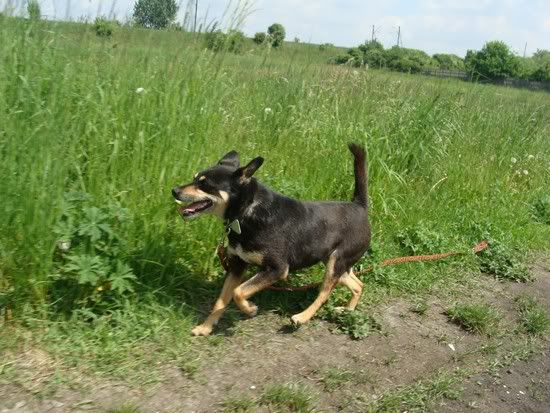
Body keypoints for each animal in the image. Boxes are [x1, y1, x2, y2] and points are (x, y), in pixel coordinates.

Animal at [172, 143, 371, 336]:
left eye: (205, 185)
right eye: (194, 178)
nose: (174, 190)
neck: (245, 212)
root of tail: (359, 206)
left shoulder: (277, 268)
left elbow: (238, 292)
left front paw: (250, 309)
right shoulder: (236, 265)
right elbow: (221, 300)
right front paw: (206, 327)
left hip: (335, 263)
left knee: (324, 294)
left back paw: (302, 317)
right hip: (334, 262)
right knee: (358, 285)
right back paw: (348, 310)